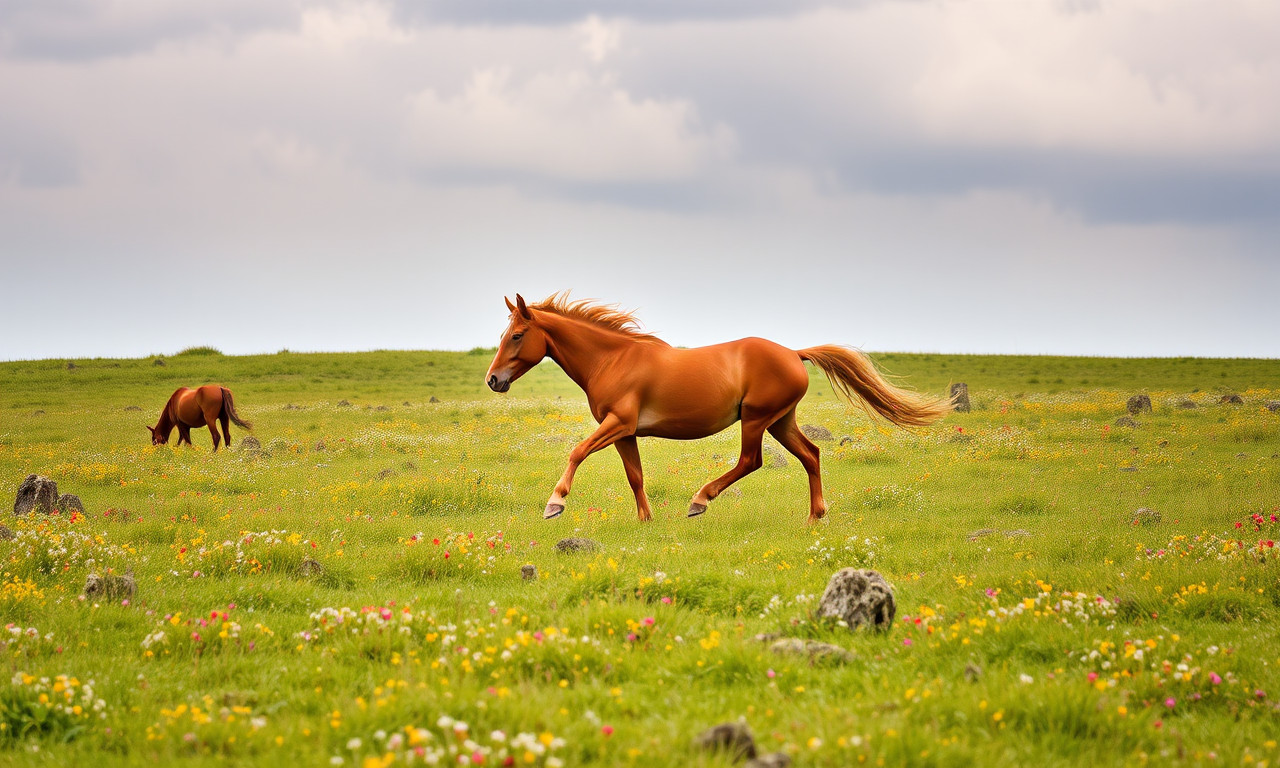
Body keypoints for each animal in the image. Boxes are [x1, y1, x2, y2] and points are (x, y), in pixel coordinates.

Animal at [483, 294, 957, 522]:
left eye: (518, 335)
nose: (493, 380)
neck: (613, 359)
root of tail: (794, 353)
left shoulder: (618, 423)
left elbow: (577, 452)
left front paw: (554, 504)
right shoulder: (625, 432)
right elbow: (635, 476)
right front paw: (646, 521)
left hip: (757, 419)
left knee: (751, 461)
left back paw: (700, 501)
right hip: (780, 420)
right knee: (811, 455)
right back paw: (814, 517)